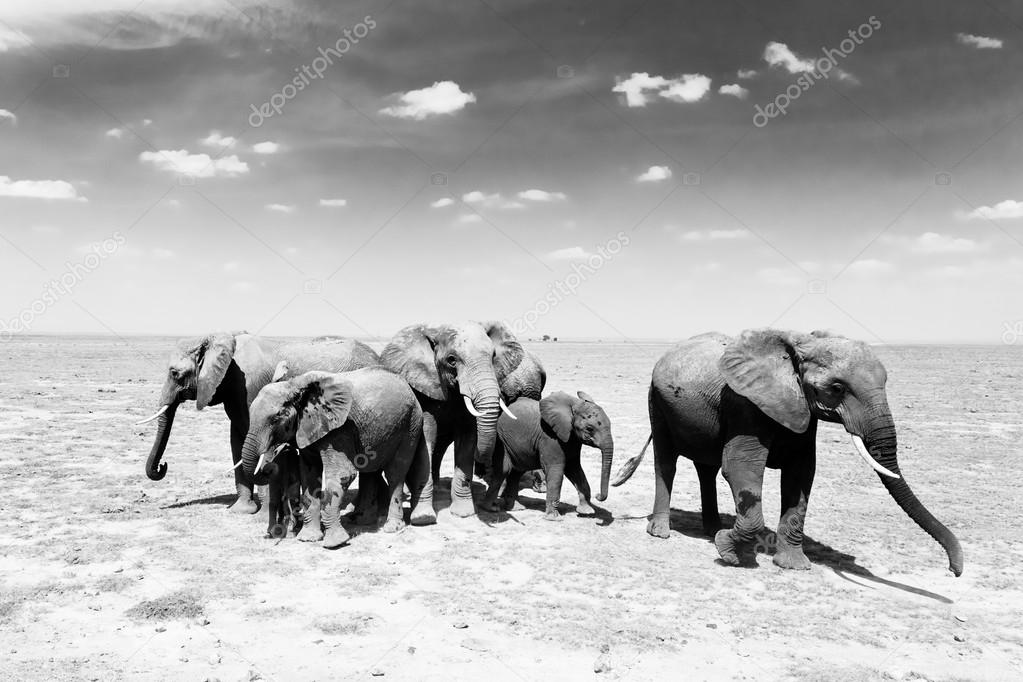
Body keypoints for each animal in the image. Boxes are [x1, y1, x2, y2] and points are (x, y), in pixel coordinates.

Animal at [134, 333, 378, 515]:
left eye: (175, 373)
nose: (162, 466)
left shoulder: (251, 387)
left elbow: (262, 442)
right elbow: (236, 440)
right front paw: (242, 510)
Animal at [243, 368, 435, 548]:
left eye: (276, 418)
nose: (269, 466)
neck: (295, 385)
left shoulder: (339, 430)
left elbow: (343, 475)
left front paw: (335, 543)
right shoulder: (308, 430)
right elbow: (309, 477)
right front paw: (308, 538)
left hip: (410, 425)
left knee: (395, 472)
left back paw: (392, 527)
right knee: (370, 471)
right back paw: (362, 521)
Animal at [382, 321, 544, 517]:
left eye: (493, 356)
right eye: (452, 360)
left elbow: (467, 439)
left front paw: (464, 512)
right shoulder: (424, 388)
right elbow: (426, 437)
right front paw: (423, 516)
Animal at [480, 392, 609, 519]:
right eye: (590, 428)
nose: (598, 496)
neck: (573, 404)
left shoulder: (572, 439)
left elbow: (575, 469)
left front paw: (587, 512)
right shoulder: (550, 438)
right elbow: (556, 470)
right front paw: (554, 518)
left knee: (516, 472)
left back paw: (516, 508)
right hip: (501, 441)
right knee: (505, 469)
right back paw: (491, 508)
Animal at [609, 331, 961, 576]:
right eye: (837, 388)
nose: (954, 570)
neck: (797, 346)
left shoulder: (802, 412)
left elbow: (801, 475)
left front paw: (793, 565)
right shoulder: (744, 404)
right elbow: (739, 467)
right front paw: (729, 553)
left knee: (705, 468)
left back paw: (710, 528)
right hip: (657, 401)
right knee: (666, 461)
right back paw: (661, 532)